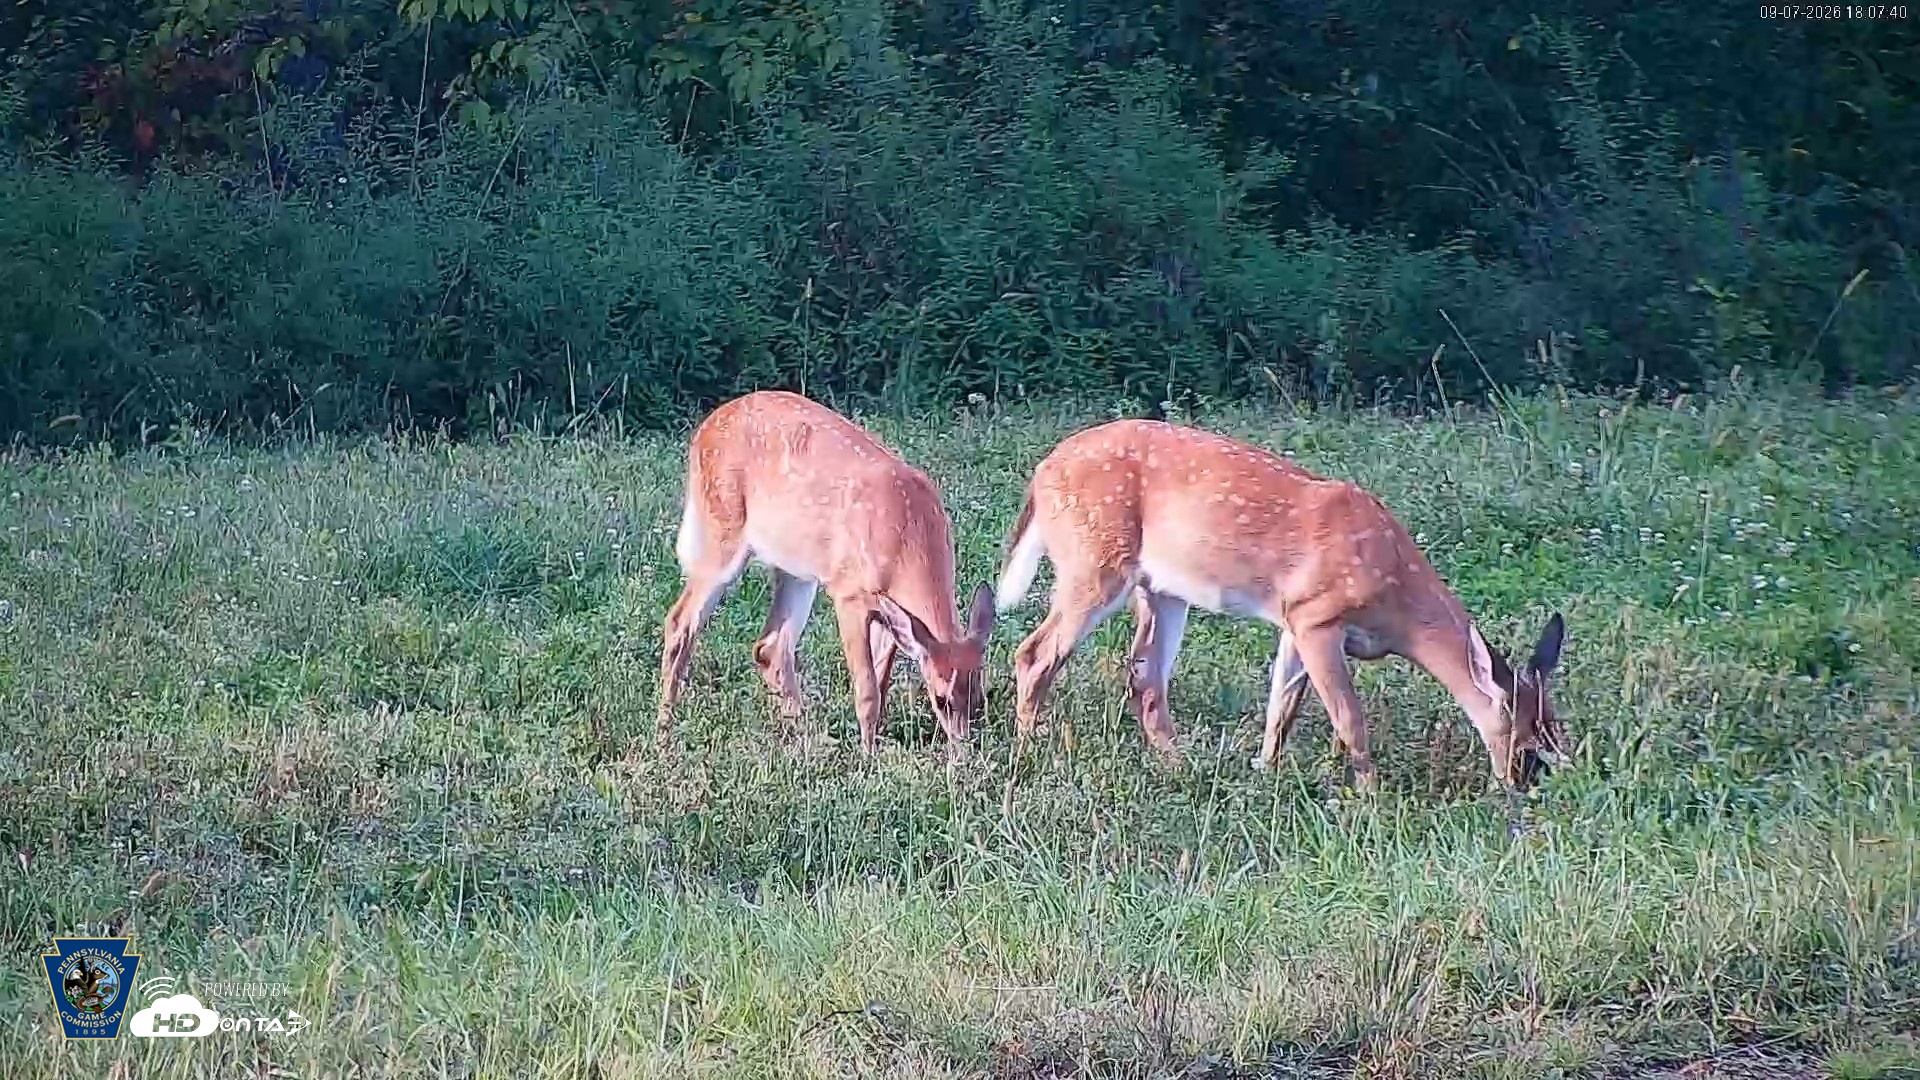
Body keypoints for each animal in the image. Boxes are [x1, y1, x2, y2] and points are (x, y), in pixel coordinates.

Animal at [657, 390, 996, 754]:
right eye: (941, 699)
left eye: (980, 700)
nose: (962, 752)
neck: (909, 536)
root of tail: (703, 431)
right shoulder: (849, 594)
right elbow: (867, 688)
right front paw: (868, 754)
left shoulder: (889, 612)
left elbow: (882, 678)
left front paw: (874, 742)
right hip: (722, 536)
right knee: (679, 621)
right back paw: (665, 730)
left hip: (797, 568)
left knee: (770, 647)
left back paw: (805, 735)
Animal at [992, 418, 1567, 793]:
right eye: (1526, 743)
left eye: (1556, 728)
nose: (1532, 786)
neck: (1396, 603)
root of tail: (1040, 475)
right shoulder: (1318, 617)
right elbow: (1349, 717)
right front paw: (1371, 798)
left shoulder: (1294, 620)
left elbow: (1281, 709)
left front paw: (1264, 771)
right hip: (1094, 562)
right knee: (1034, 653)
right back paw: (1032, 748)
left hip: (1161, 589)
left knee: (1144, 674)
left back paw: (1179, 764)